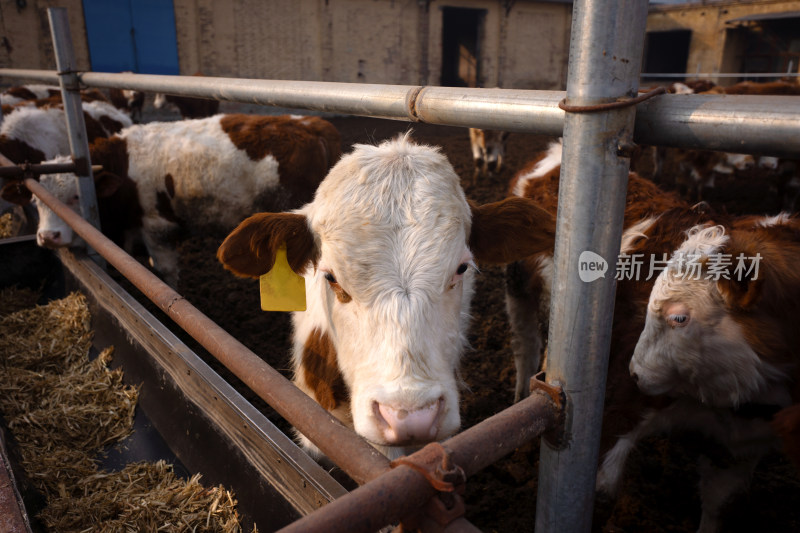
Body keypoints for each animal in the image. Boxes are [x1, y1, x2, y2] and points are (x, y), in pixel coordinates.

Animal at [0, 112, 344, 286]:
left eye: (74, 197)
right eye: (36, 201)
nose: (48, 237)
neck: (122, 166)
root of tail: (314, 126)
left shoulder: (158, 227)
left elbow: (163, 273)